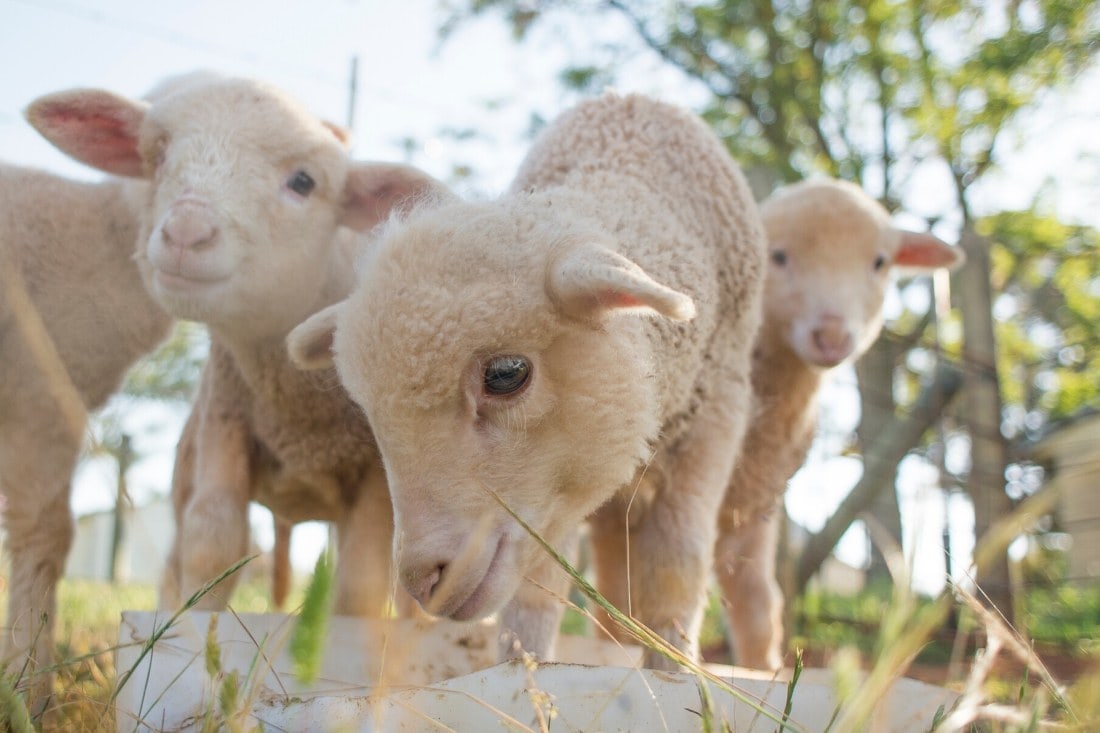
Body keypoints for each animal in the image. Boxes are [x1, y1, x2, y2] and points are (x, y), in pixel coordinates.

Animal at [26, 72, 437, 616]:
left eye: (303, 182)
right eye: (158, 155)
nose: (186, 231)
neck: (297, 404)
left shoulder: (374, 468)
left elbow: (362, 585)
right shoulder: (226, 419)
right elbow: (212, 542)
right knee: (175, 558)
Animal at [290, 93, 765, 669]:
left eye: (506, 374)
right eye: (370, 413)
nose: (422, 581)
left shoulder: (716, 415)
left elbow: (677, 567)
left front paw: (675, 669)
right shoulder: (549, 504)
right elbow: (538, 587)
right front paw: (524, 667)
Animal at [712, 177, 963, 669]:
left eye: (880, 262)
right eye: (778, 256)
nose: (831, 336)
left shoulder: (755, 495)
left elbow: (757, 603)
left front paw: (762, 672)